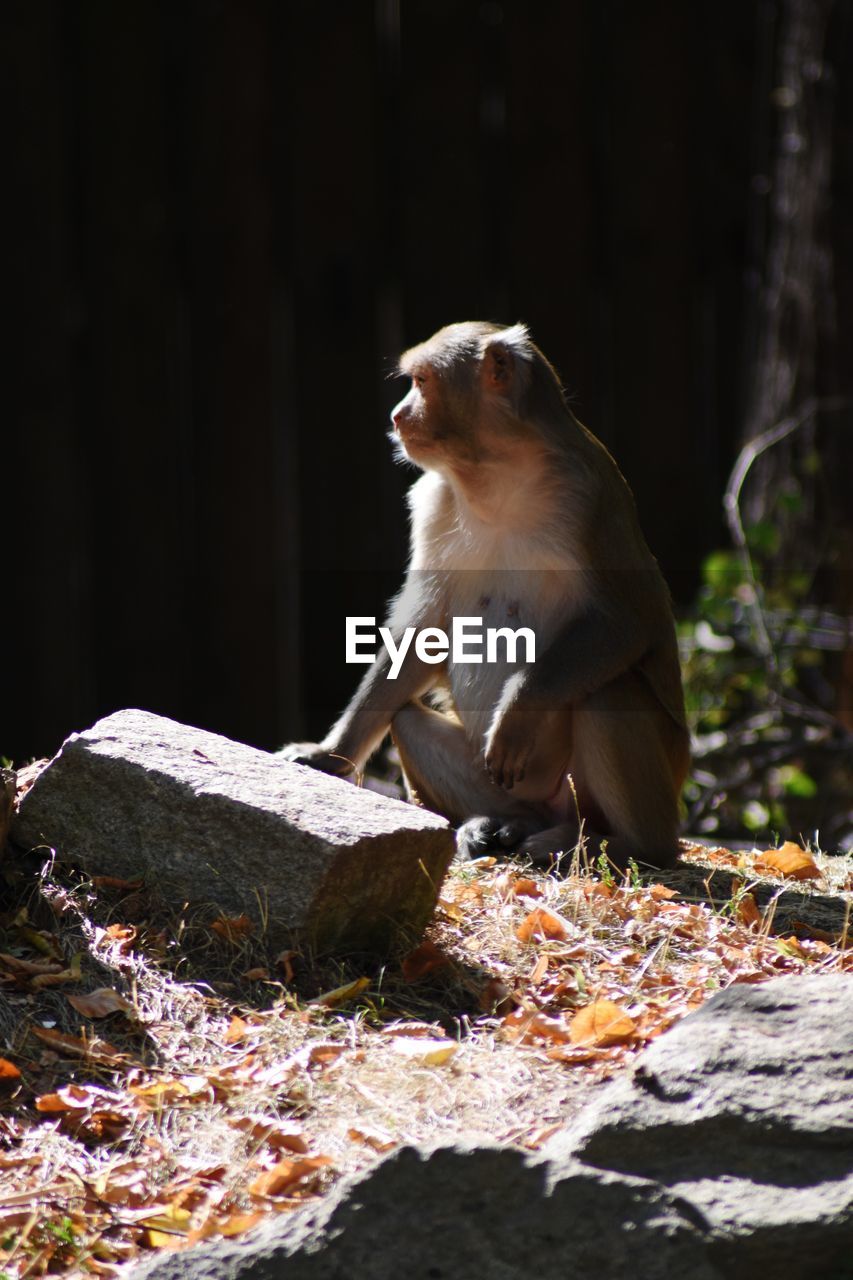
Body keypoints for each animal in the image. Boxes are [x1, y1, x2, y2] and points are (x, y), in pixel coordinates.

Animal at [281, 325, 686, 875]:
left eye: (421, 382)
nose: (397, 416)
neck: (495, 475)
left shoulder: (590, 497)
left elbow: (628, 621)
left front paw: (518, 709)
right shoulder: (432, 503)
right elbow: (421, 631)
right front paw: (330, 754)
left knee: (609, 691)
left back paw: (630, 846)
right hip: (510, 785)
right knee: (407, 719)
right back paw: (508, 825)